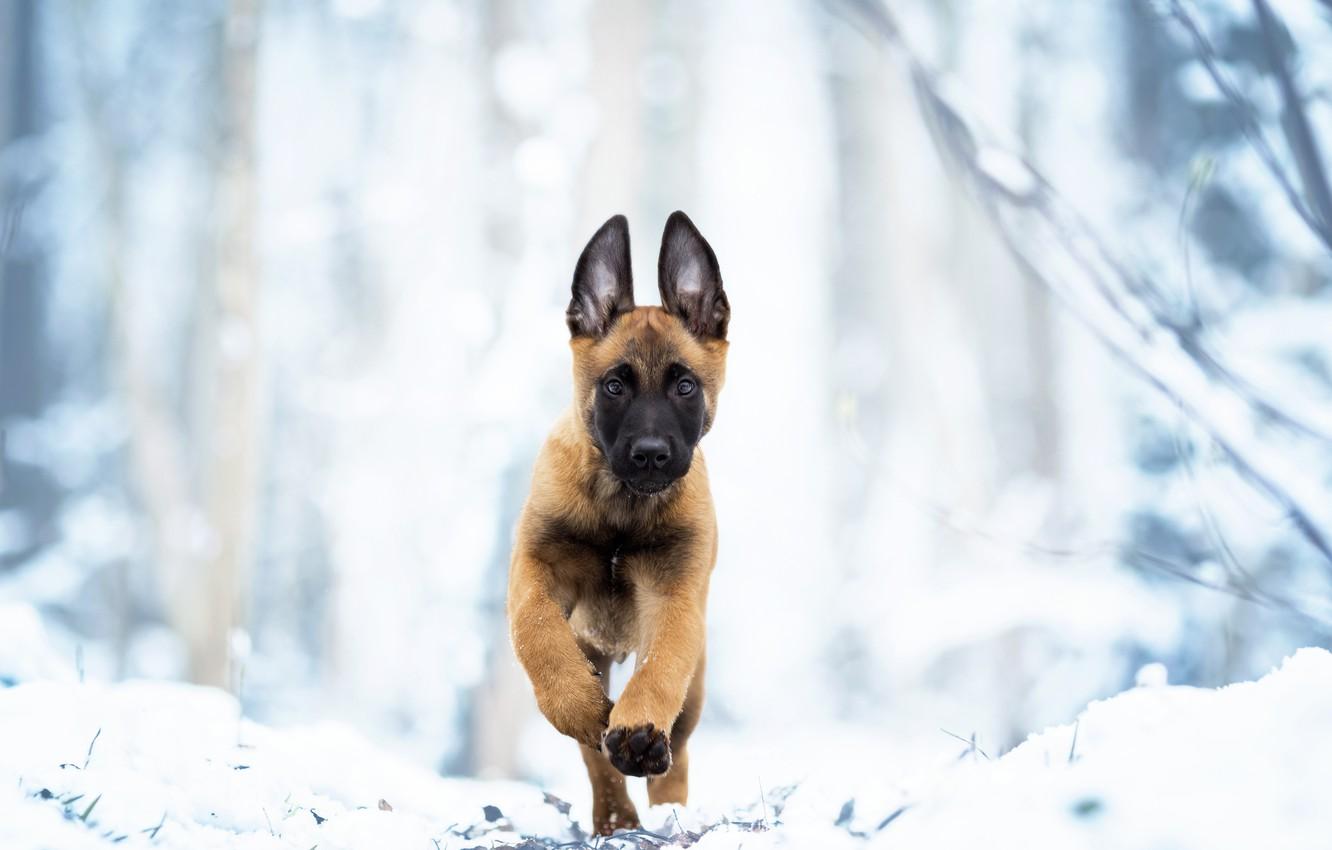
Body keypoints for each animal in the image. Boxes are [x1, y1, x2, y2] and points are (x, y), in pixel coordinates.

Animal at [506, 210, 729, 836]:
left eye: (685, 386)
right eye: (614, 386)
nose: (651, 455)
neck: (621, 511)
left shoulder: (674, 594)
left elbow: (662, 665)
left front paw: (638, 730)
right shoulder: (536, 573)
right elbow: (537, 634)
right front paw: (580, 708)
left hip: (695, 688)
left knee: (679, 747)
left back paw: (664, 807)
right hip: (593, 651)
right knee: (593, 756)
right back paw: (613, 813)